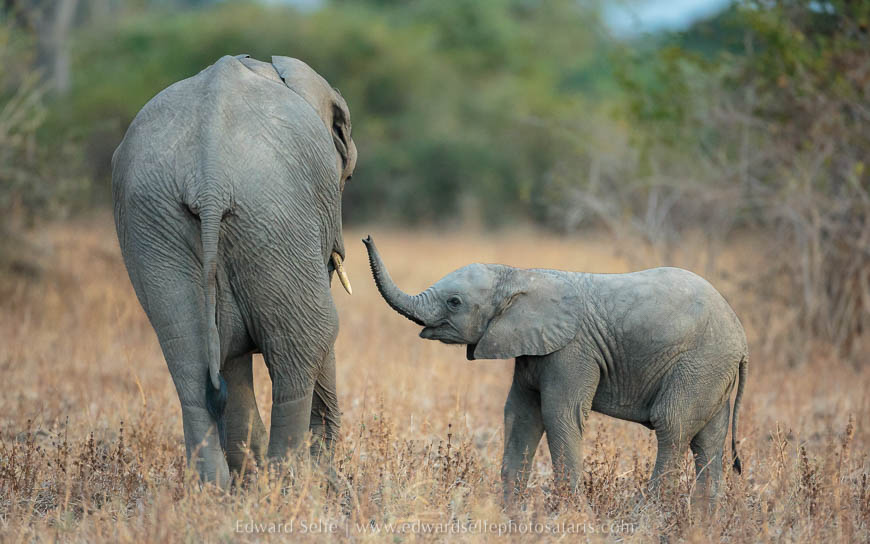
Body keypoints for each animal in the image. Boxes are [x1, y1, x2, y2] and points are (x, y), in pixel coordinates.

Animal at [112, 55, 357, 487]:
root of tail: (207, 176)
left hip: (153, 217)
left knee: (189, 354)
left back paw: (215, 488)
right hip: (276, 211)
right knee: (311, 336)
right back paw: (286, 482)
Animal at [363, 235, 748, 502]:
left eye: (454, 302)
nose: (366, 238)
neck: (517, 275)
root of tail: (741, 337)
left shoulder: (572, 351)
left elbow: (559, 414)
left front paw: (570, 512)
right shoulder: (531, 350)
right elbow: (521, 413)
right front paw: (511, 514)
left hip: (699, 364)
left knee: (672, 425)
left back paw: (651, 514)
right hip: (713, 371)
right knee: (708, 441)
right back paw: (702, 521)